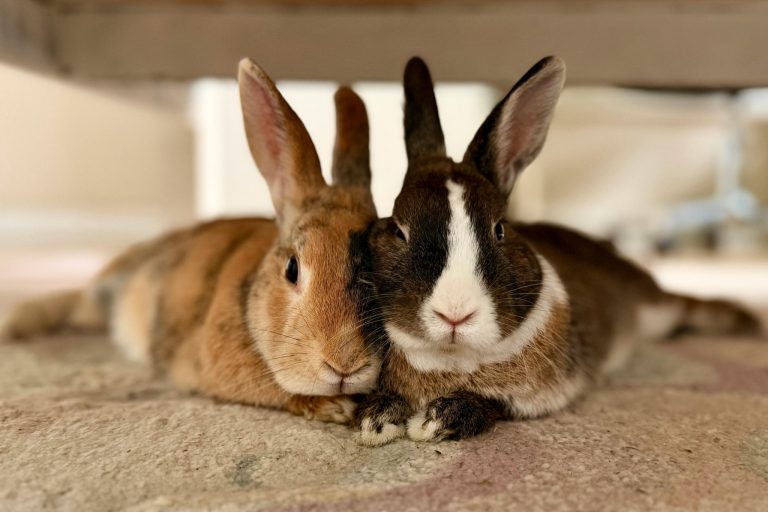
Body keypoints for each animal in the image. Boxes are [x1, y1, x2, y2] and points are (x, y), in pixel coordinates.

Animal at [355, 56, 762, 445]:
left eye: (499, 229)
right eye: (399, 230)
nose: (455, 314)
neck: (452, 358)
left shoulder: (537, 395)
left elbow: (491, 404)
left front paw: (434, 422)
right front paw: (375, 422)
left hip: (657, 308)